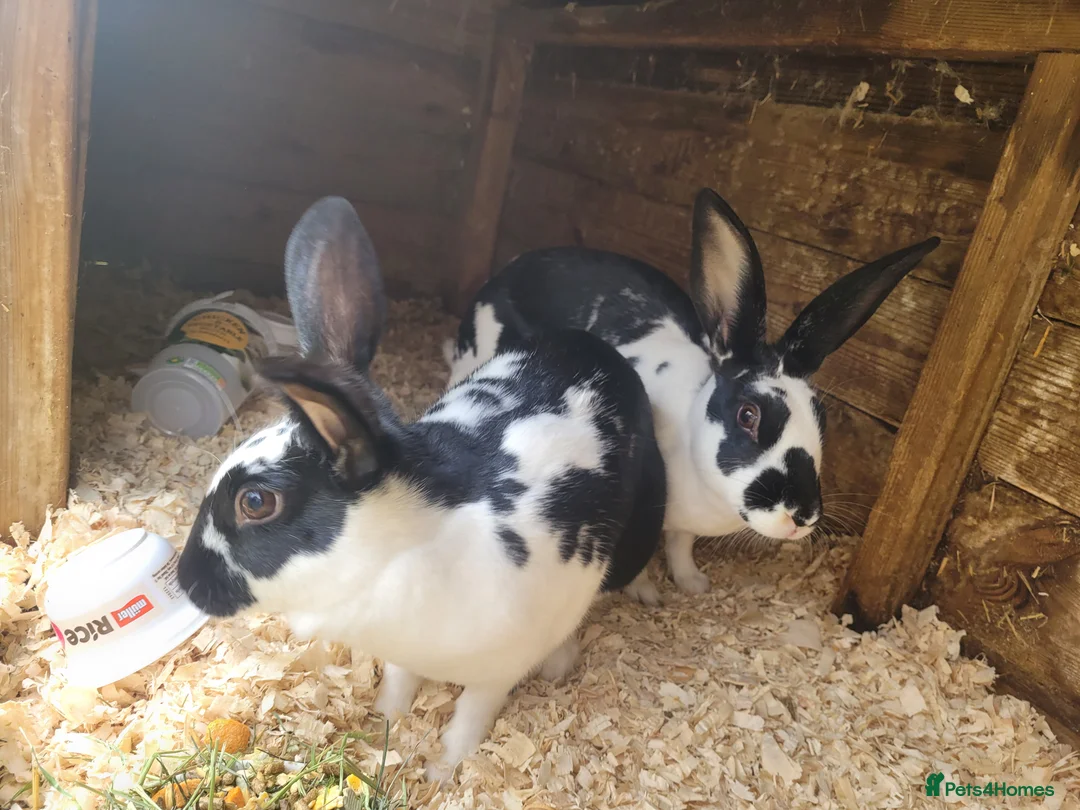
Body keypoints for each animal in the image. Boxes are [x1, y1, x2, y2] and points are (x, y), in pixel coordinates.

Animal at [176, 196, 667, 780]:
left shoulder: (495, 670)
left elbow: (470, 717)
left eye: (255, 502)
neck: (393, 554)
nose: (185, 581)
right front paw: (382, 724)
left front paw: (443, 770)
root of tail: (600, 353)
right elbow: (399, 683)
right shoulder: (403, 654)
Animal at [447, 188, 940, 596]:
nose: (801, 517)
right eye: (748, 415)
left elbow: (680, 544)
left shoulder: (681, 527)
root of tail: (508, 271)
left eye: (822, 419)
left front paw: (692, 584)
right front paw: (647, 593)